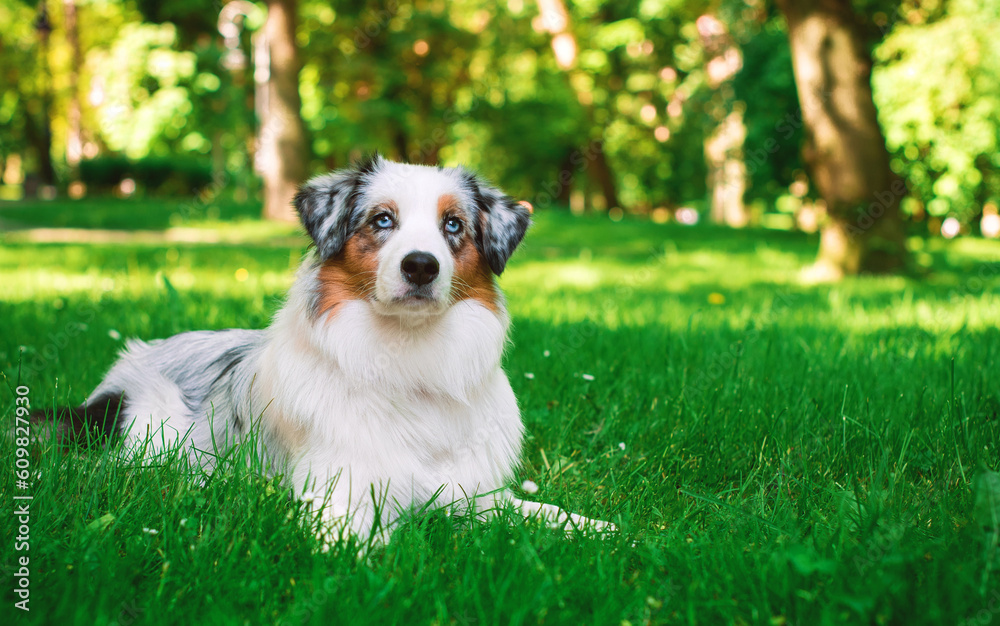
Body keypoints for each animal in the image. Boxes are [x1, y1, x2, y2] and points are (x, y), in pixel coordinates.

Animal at [39, 154, 612, 540]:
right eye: (382, 220)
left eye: (453, 225)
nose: (421, 266)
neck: (407, 360)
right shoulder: (338, 492)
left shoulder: (474, 493)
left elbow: (548, 514)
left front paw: (607, 530)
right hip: (149, 431)